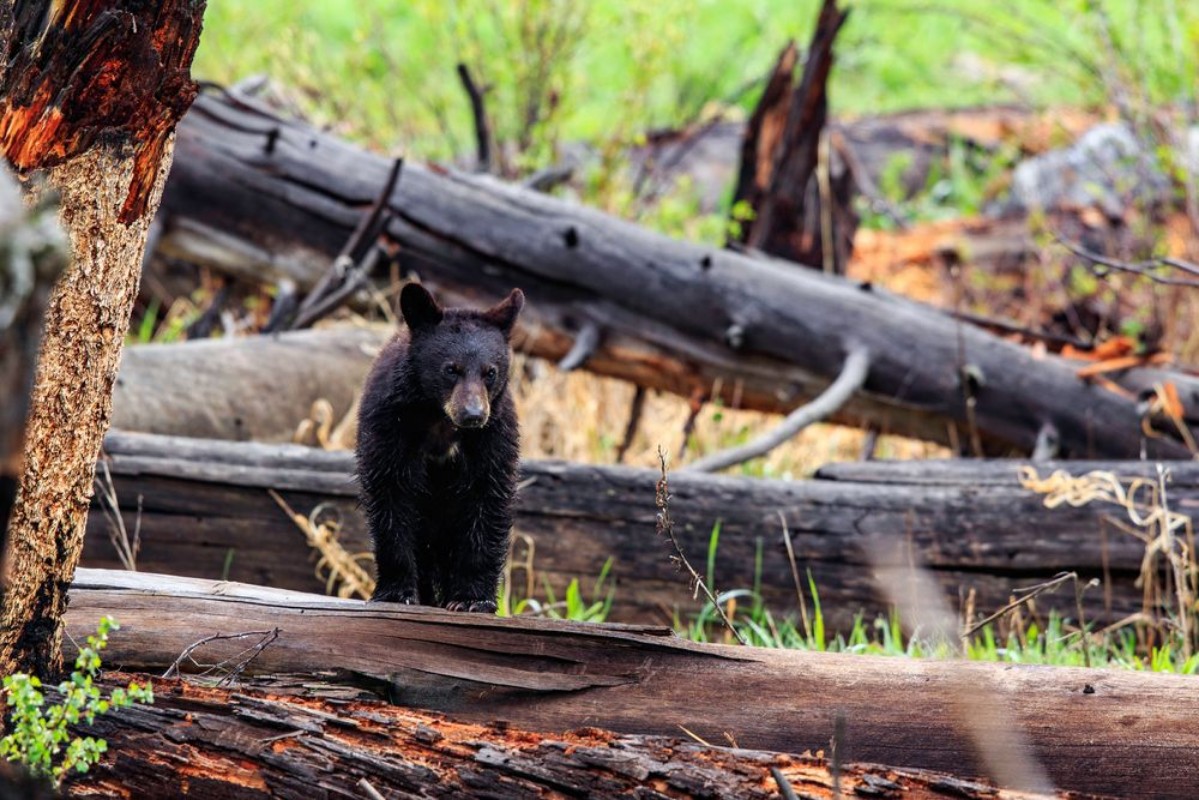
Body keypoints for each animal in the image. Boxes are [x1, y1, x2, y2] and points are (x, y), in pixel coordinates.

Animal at [356, 283, 524, 613]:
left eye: (490, 372)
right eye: (451, 369)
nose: (473, 415)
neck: (440, 419)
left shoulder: (492, 436)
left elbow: (486, 498)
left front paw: (473, 599)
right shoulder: (390, 424)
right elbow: (391, 494)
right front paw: (397, 592)